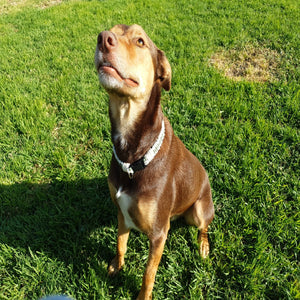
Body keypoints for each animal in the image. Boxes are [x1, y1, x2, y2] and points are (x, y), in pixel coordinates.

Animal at [95, 24, 214, 300]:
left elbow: (148, 274)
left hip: (200, 211)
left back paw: (203, 246)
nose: (103, 38)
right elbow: (120, 244)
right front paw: (117, 265)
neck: (133, 154)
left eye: (140, 41)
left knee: (204, 228)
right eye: (110, 30)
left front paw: (142, 296)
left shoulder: (159, 234)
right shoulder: (121, 211)